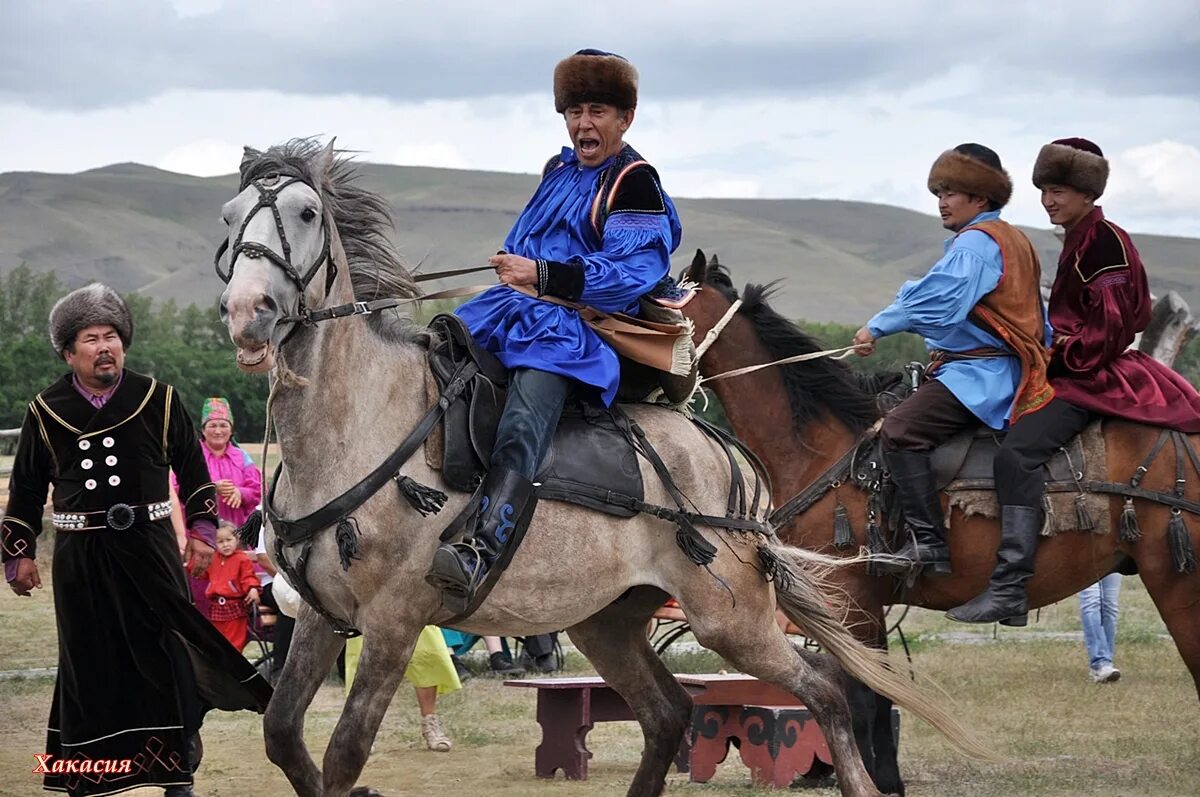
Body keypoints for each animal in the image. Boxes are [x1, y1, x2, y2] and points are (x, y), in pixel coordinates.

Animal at [216, 139, 984, 792]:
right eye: (229, 215)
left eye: (307, 213)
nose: (248, 311)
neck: (362, 421)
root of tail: (729, 460)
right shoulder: (321, 616)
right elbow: (283, 734)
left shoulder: (394, 622)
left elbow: (344, 753)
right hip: (606, 621)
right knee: (668, 711)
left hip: (730, 621)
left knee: (824, 692)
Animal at [686, 252, 1200, 797]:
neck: (823, 447)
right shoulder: (857, 605)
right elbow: (877, 697)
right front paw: (887, 781)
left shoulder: (852, 600)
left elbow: (867, 698)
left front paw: (876, 782)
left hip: (1177, 582)